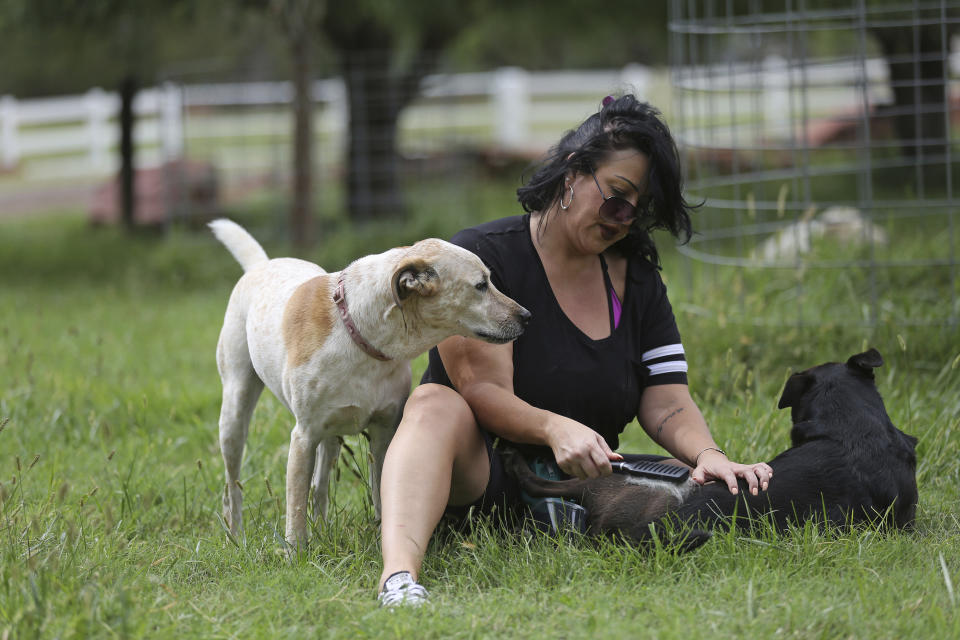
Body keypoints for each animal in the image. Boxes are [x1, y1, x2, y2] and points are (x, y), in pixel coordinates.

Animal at [208, 219, 532, 544]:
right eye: (481, 285)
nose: (527, 316)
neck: (357, 332)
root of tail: (260, 265)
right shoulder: (303, 437)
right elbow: (295, 509)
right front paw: (295, 551)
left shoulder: (384, 432)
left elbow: (380, 495)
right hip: (235, 415)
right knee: (232, 487)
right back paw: (236, 537)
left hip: (331, 437)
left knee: (320, 486)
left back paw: (322, 531)